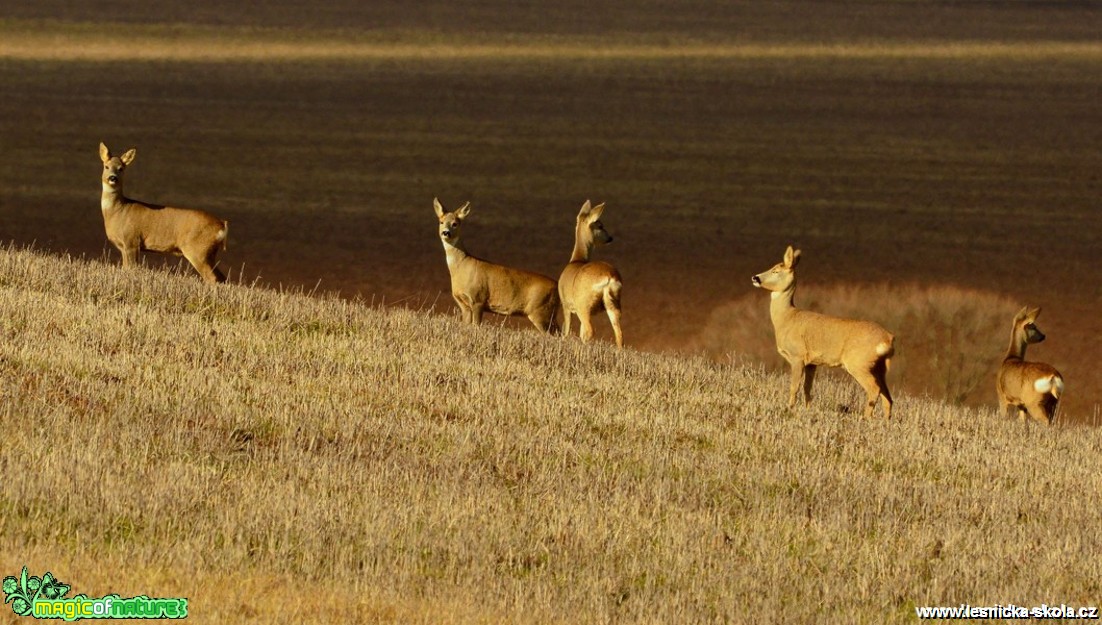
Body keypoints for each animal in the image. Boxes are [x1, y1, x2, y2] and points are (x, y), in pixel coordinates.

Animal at [99, 143, 228, 282]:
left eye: (121, 168)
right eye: (106, 166)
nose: (113, 178)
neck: (119, 210)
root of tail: (222, 225)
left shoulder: (132, 240)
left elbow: (132, 269)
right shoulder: (123, 246)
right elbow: (125, 269)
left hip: (197, 250)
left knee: (212, 278)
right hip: (209, 253)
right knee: (222, 277)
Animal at [431, 199, 559, 332]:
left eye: (455, 223)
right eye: (441, 222)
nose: (446, 232)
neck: (462, 266)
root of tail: (557, 285)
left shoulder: (478, 299)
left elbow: (476, 326)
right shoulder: (463, 304)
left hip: (541, 311)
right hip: (548, 313)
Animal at [555, 199, 625, 348]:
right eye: (600, 225)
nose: (610, 238)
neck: (576, 260)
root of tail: (609, 278)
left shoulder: (566, 304)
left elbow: (566, 331)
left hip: (583, 305)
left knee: (589, 330)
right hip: (613, 303)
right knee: (619, 335)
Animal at [749, 246, 894, 418]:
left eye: (776, 270)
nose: (755, 277)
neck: (786, 318)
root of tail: (888, 339)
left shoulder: (797, 356)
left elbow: (794, 386)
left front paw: (789, 409)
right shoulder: (812, 363)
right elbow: (807, 388)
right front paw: (808, 410)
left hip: (858, 363)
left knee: (874, 389)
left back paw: (866, 418)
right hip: (879, 367)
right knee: (888, 398)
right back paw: (884, 421)